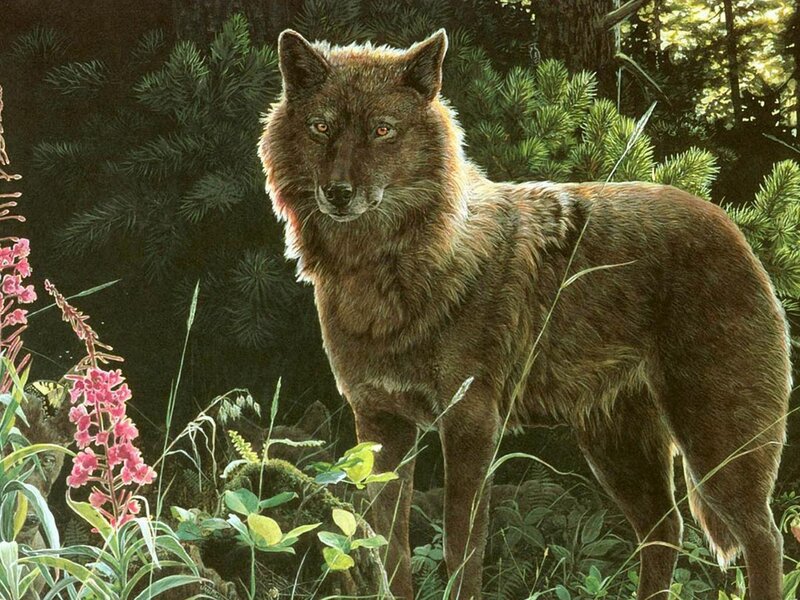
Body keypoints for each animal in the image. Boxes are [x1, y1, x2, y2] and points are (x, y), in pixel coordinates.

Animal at [259, 29, 791, 600]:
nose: (338, 193)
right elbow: (388, 549)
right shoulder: (380, 422)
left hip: (715, 445)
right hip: (617, 448)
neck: (389, 272)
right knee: (665, 530)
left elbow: (461, 550)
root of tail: (732, 228)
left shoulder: (471, 425)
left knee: (763, 538)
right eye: (321, 127)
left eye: (382, 130)